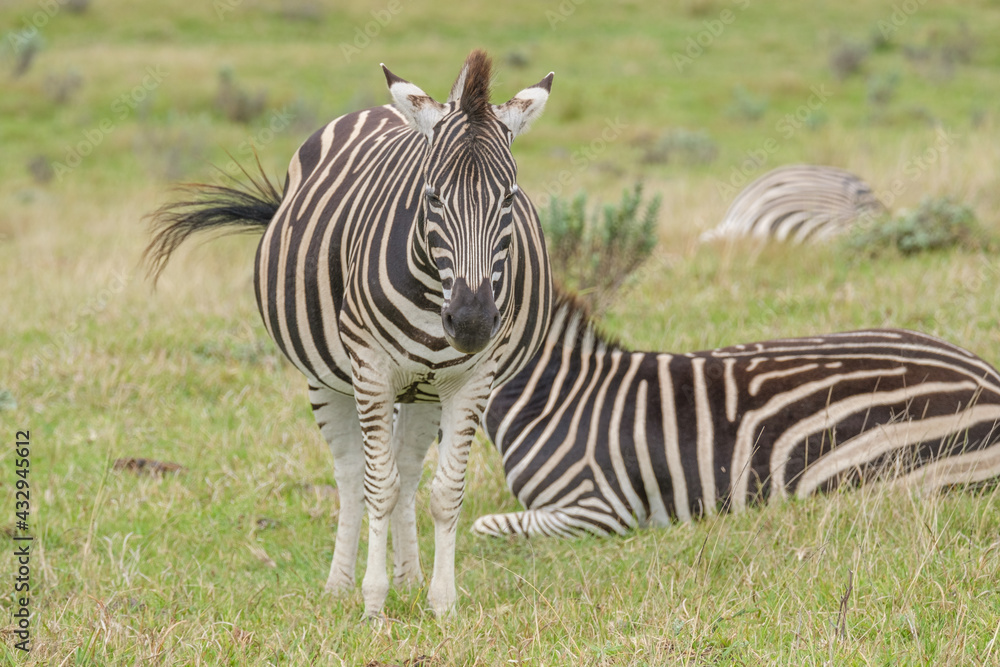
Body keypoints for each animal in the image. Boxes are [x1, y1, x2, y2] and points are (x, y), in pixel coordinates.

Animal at [145, 50, 554, 617]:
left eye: (509, 200)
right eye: (432, 197)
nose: (472, 321)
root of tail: (379, 109)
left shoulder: (471, 380)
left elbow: (444, 493)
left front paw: (442, 603)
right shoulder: (372, 370)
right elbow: (376, 486)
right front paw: (373, 603)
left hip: (423, 391)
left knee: (409, 472)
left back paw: (410, 577)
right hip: (328, 379)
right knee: (351, 476)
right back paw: (340, 584)